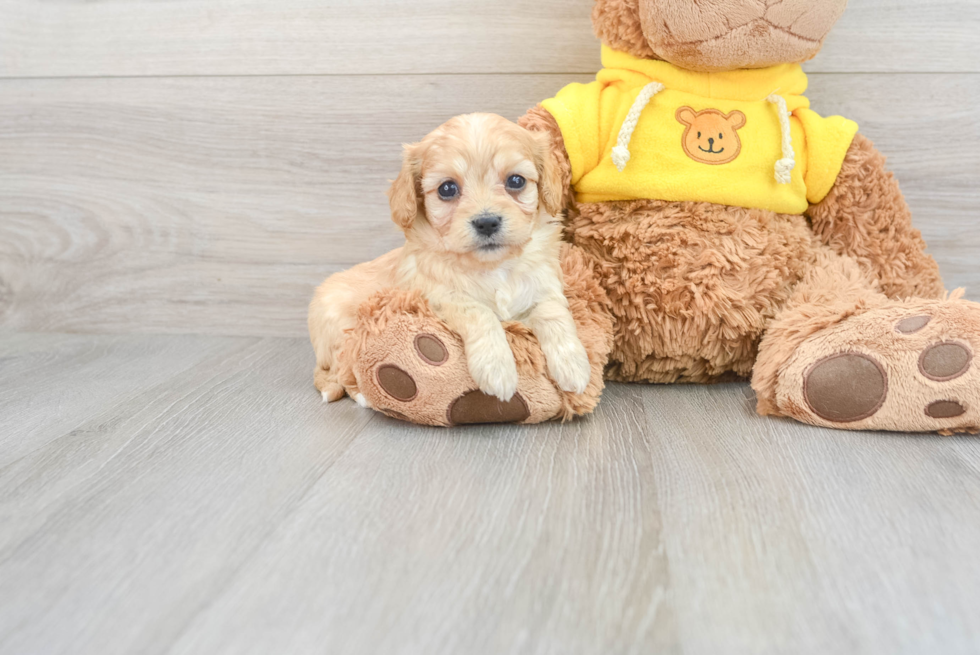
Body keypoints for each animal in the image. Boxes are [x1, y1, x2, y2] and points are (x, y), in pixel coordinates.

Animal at [310, 115, 592, 408]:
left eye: (516, 181)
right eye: (447, 188)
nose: (486, 222)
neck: (493, 267)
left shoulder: (544, 285)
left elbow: (553, 312)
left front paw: (574, 365)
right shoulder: (437, 295)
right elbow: (478, 311)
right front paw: (496, 368)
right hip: (343, 335)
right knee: (341, 371)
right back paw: (361, 395)